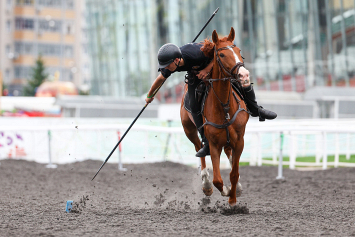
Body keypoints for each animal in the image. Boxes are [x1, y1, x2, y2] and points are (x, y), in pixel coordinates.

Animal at [181, 27, 250, 206]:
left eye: (239, 51)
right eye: (222, 55)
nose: (244, 75)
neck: (224, 106)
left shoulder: (239, 140)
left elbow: (234, 173)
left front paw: (233, 197)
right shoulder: (213, 144)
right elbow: (218, 180)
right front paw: (226, 191)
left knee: (230, 156)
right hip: (189, 129)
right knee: (198, 147)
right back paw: (206, 184)